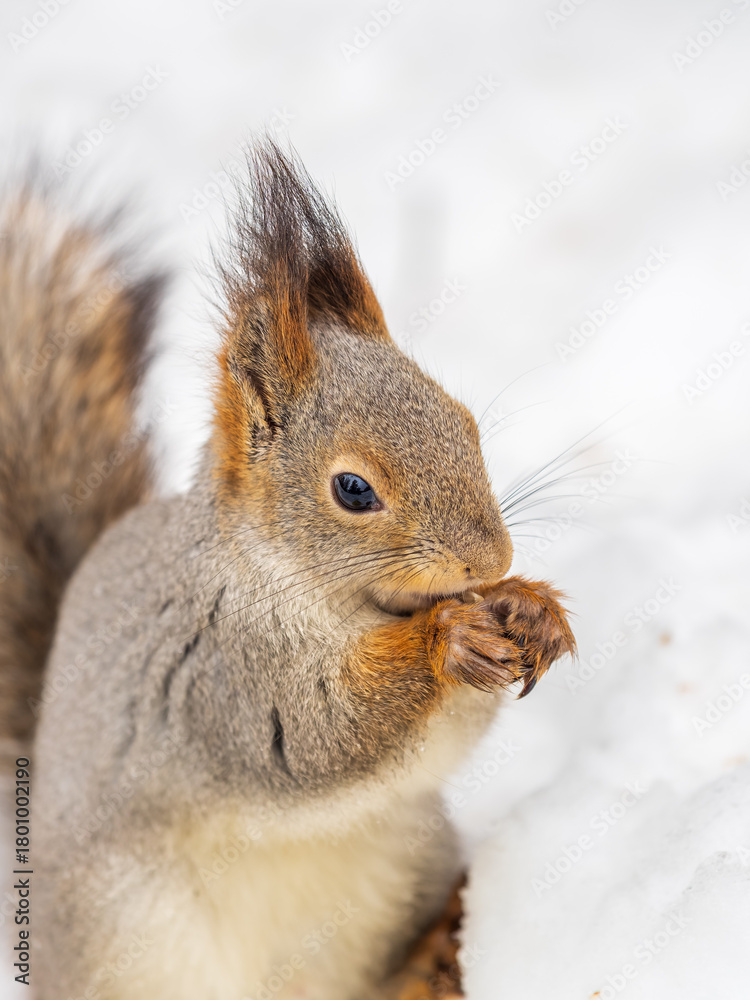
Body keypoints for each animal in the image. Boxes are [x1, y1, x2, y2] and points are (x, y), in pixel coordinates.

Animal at [0, 142, 575, 1000]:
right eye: (353, 490)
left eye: (465, 423)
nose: (491, 558)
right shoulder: (217, 676)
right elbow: (316, 736)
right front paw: (449, 636)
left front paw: (528, 607)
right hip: (138, 948)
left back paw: (431, 956)